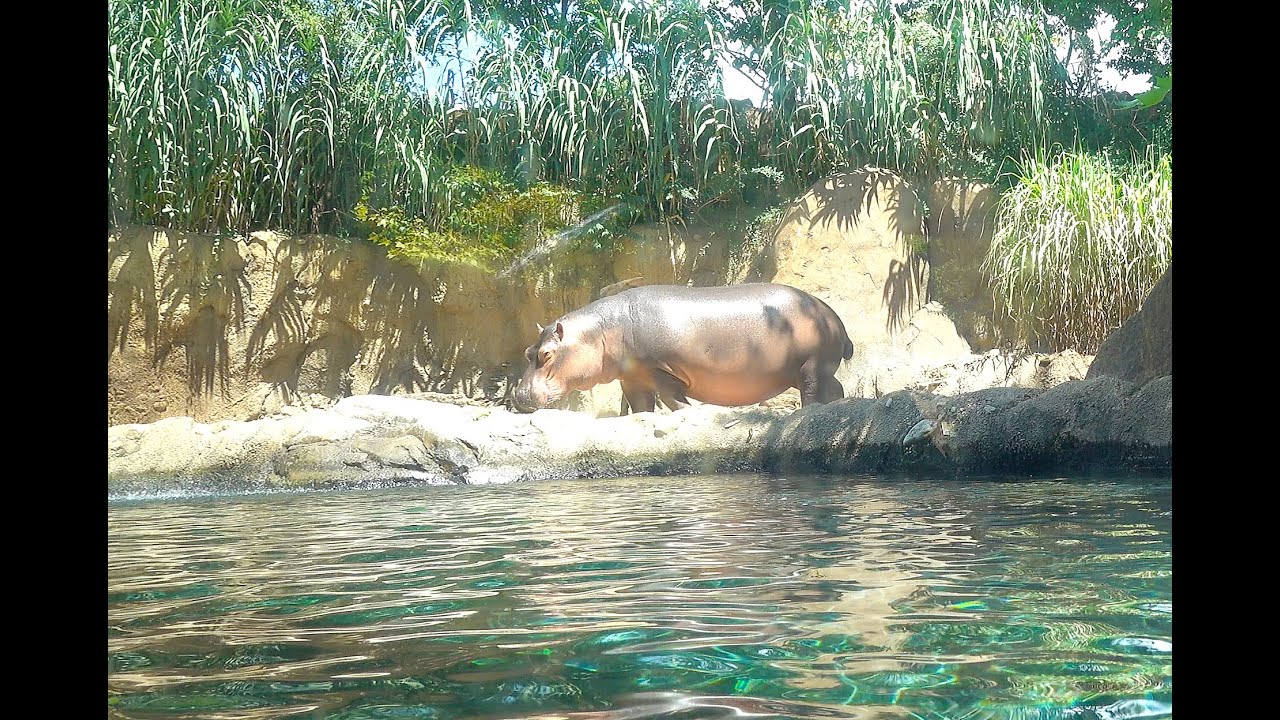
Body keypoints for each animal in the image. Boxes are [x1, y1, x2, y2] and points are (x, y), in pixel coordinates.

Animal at [512, 283, 854, 413]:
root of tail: (833, 316)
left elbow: (672, 399)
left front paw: (689, 412)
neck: (601, 333)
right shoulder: (633, 379)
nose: (517, 396)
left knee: (812, 392)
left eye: (546, 354)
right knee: (836, 388)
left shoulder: (661, 370)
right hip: (817, 369)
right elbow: (641, 407)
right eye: (528, 352)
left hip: (810, 365)